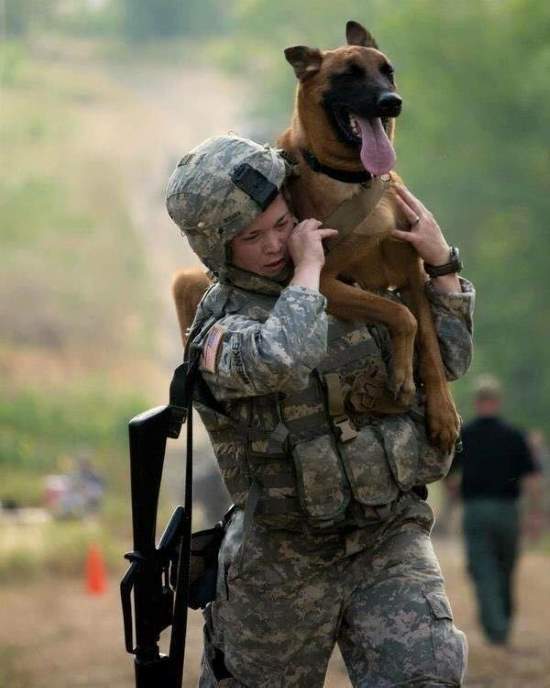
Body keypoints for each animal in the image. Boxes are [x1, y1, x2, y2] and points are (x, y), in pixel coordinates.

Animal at [172, 20, 462, 452]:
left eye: (387, 71)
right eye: (348, 76)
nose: (392, 102)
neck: (353, 178)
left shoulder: (412, 274)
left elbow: (428, 340)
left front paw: (443, 413)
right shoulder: (325, 282)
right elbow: (402, 316)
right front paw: (400, 378)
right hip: (186, 282)